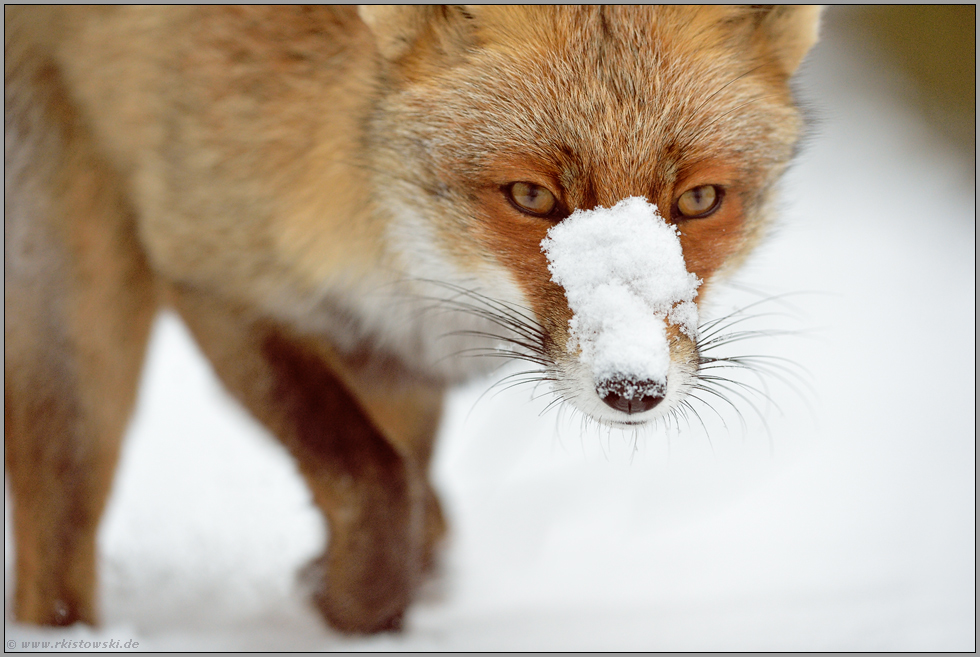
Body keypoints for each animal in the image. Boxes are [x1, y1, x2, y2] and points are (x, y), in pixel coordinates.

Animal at [5, 3, 820, 632]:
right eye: (530, 196)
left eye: (699, 200)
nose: (632, 389)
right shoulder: (212, 272)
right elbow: (375, 486)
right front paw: (346, 606)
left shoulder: (396, 356)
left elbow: (416, 506)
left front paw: (358, 597)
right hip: (73, 300)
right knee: (58, 541)